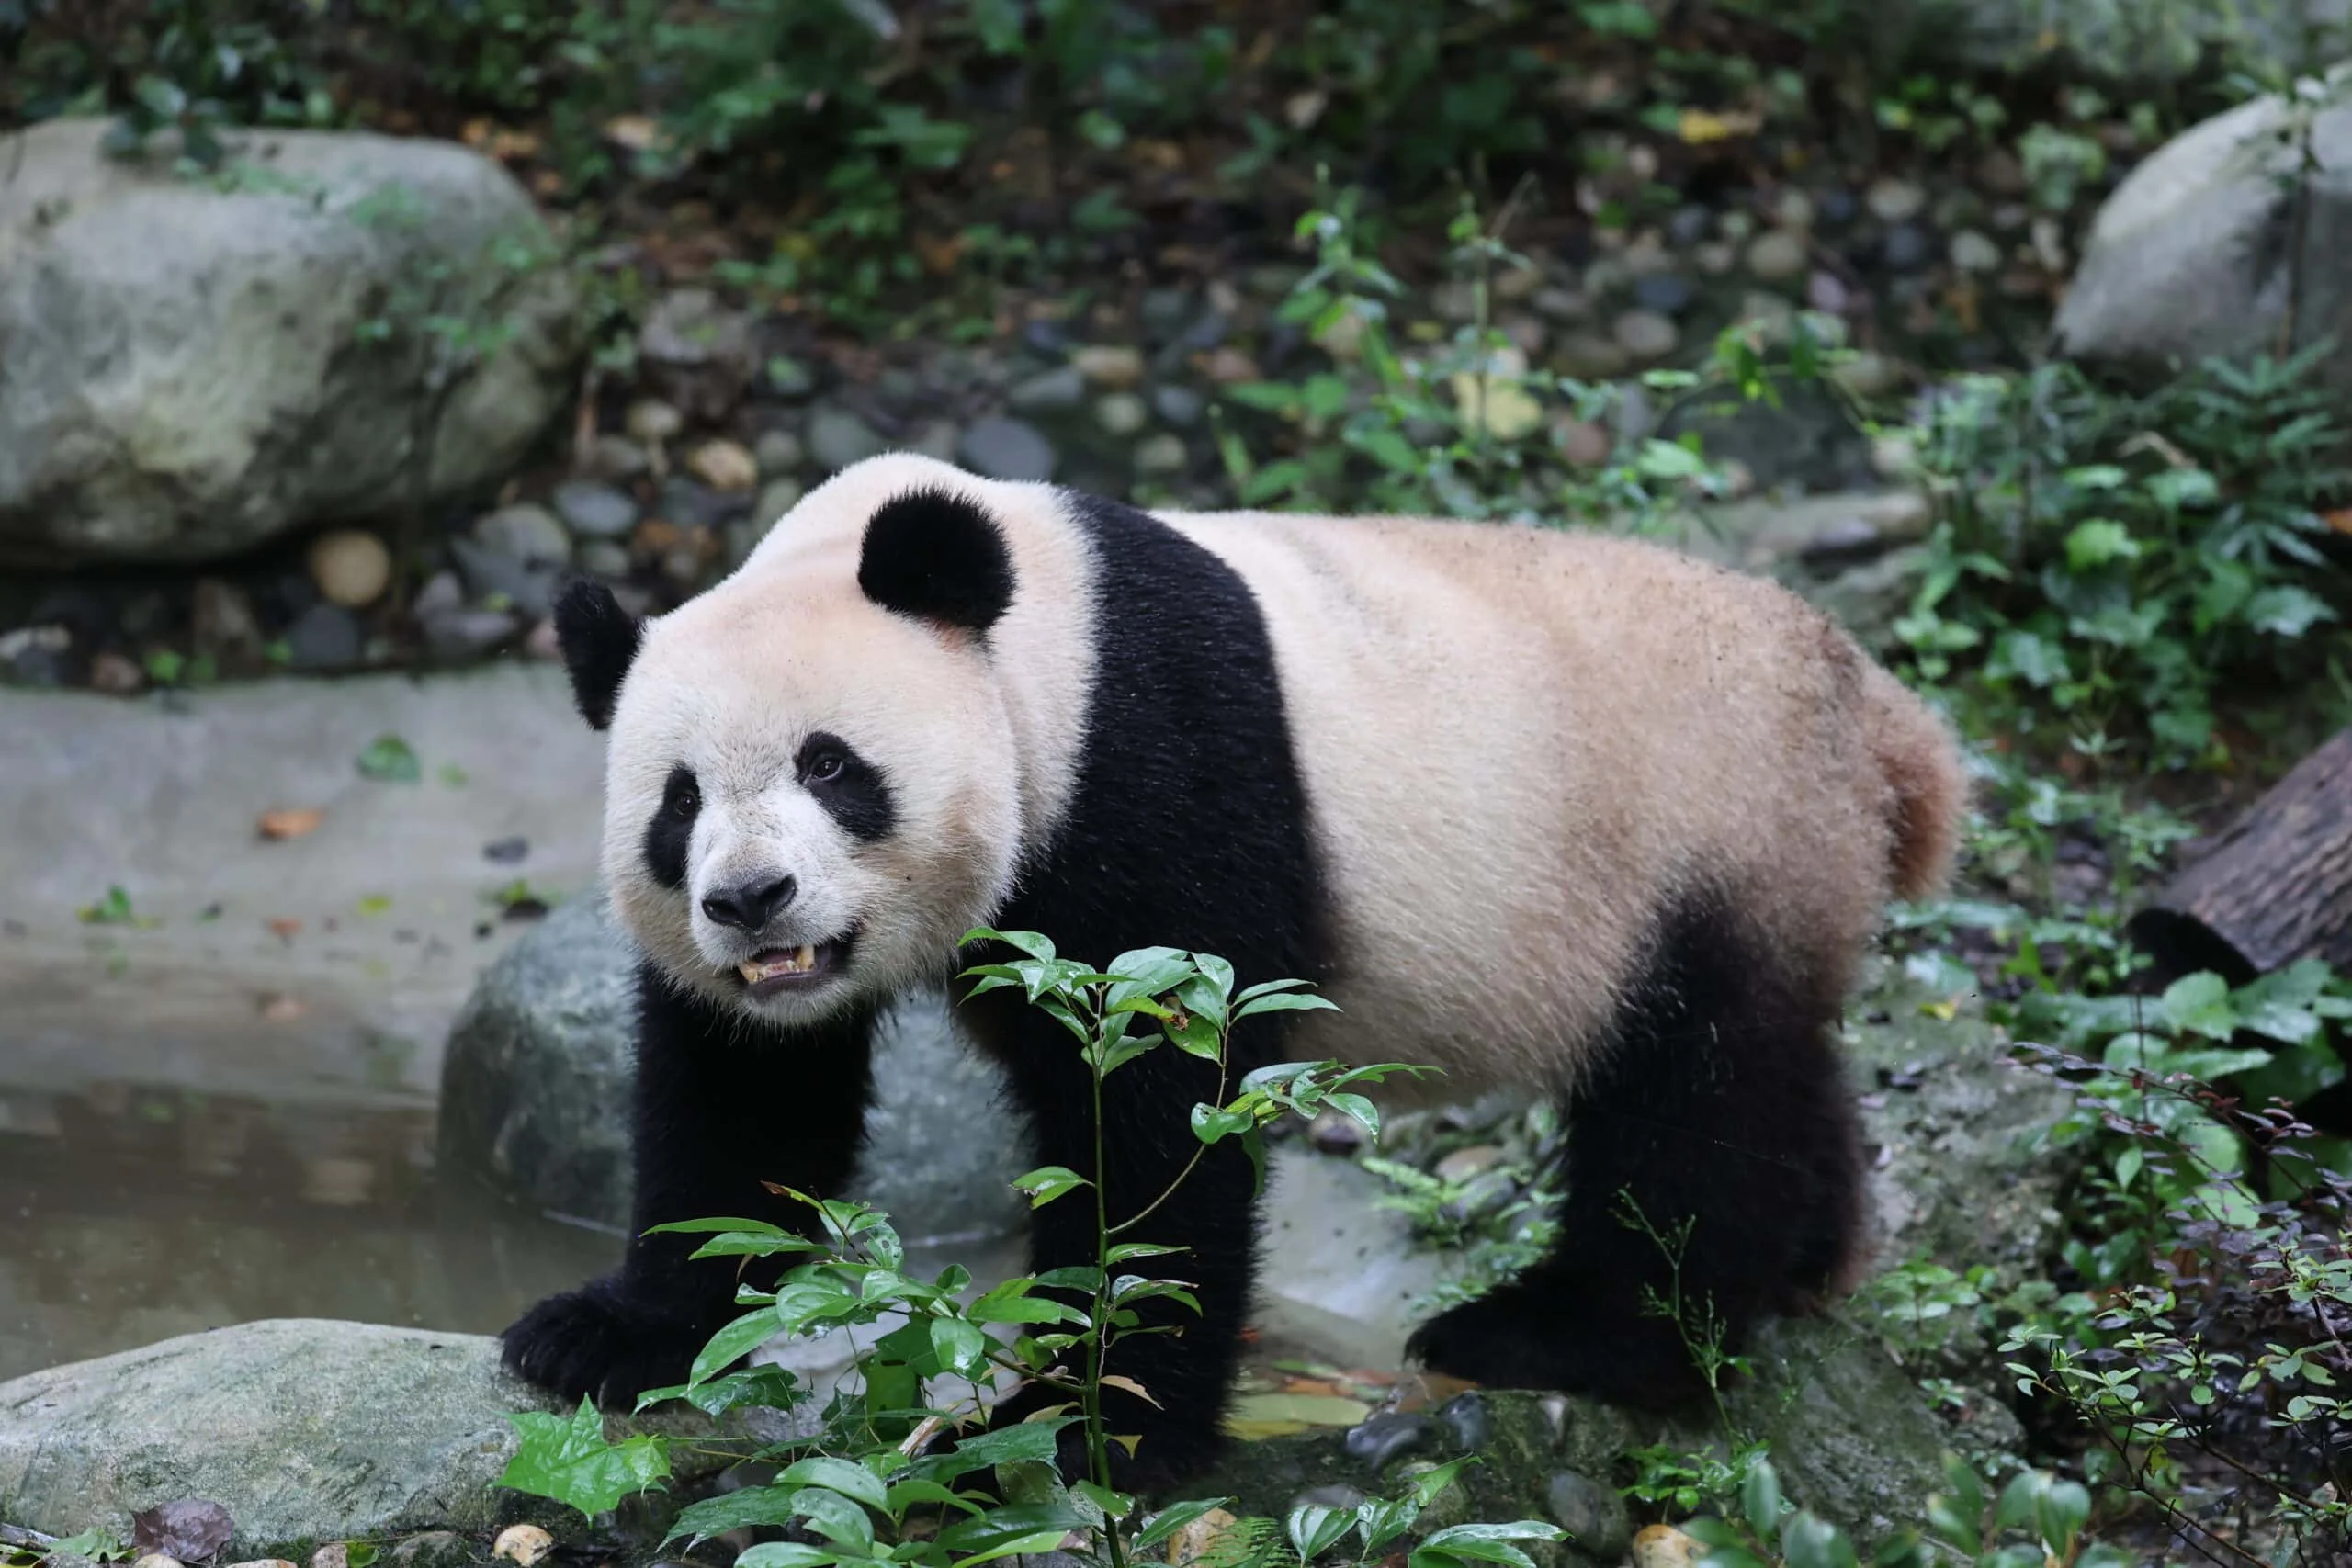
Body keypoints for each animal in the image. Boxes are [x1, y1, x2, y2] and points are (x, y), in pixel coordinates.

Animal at [501, 451, 1967, 1490]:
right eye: (679, 803)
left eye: (830, 765)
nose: (751, 901)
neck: (1040, 639)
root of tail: (1880, 720)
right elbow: (748, 1103)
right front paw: (612, 1333)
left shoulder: (1151, 766)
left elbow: (1159, 1117)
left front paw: (1088, 1426)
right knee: (1769, 1075)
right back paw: (1807, 1261)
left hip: (1705, 837)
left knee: (1688, 1109)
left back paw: (1582, 1334)